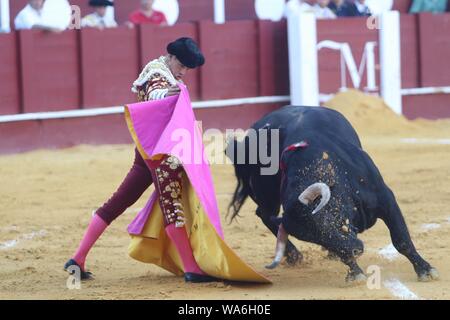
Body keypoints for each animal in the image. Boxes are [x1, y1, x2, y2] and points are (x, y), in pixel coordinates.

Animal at [227, 105, 438, 282]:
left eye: (327, 221)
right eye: (317, 238)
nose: (355, 250)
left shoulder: (386, 198)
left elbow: (401, 239)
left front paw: (425, 270)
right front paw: (355, 273)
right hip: (267, 194)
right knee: (265, 214)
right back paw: (294, 255)